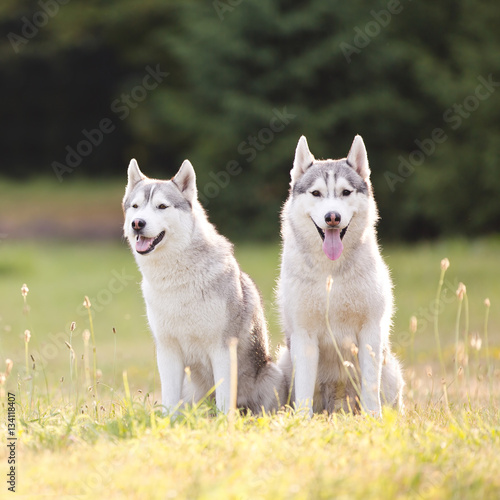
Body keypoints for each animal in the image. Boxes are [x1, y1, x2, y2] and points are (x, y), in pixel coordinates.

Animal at [123, 159, 288, 414]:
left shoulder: (221, 349)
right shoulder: (167, 352)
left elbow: (224, 402)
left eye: (161, 206)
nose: (137, 223)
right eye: (135, 206)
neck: (177, 279)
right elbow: (169, 403)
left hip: (272, 376)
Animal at [276, 135, 404, 416]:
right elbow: (303, 392)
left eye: (346, 192)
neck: (331, 275)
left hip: (390, 368)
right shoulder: (304, 337)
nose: (332, 217)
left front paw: (374, 419)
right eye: (316, 193)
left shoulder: (370, 332)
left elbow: (370, 390)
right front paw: (301, 421)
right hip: (284, 360)